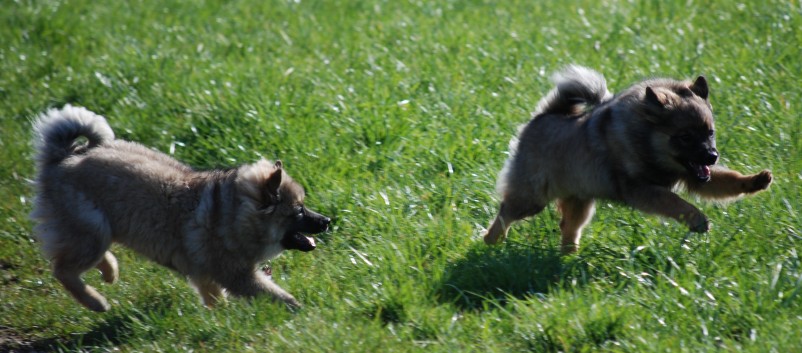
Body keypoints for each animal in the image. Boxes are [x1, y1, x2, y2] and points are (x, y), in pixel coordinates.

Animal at [29, 105, 326, 310]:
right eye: (299, 211)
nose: (327, 221)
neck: (232, 215)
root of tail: (62, 156)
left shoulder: (205, 273)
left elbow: (214, 297)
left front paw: (221, 317)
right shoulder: (237, 273)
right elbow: (275, 294)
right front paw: (301, 311)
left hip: (96, 232)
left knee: (82, 259)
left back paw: (110, 272)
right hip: (90, 229)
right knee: (63, 270)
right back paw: (95, 301)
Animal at [484, 65, 772, 253]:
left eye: (710, 133)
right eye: (685, 137)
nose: (712, 156)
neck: (647, 141)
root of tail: (542, 117)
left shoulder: (695, 175)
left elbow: (728, 181)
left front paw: (757, 180)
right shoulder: (642, 189)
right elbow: (676, 202)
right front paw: (697, 219)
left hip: (580, 200)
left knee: (569, 227)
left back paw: (568, 257)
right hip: (532, 198)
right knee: (506, 212)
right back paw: (492, 242)